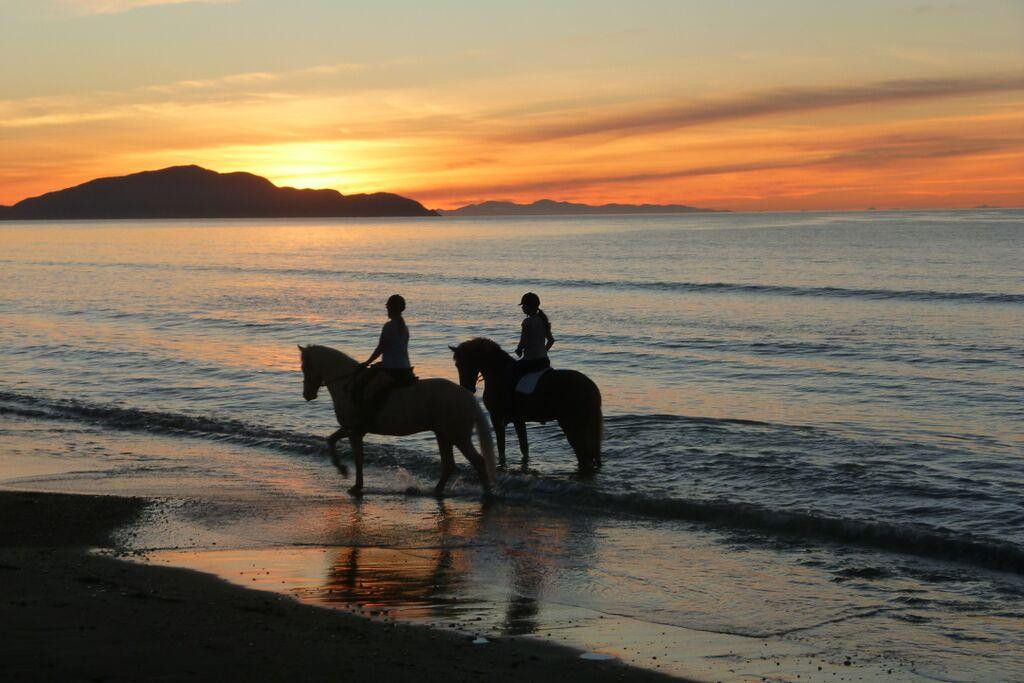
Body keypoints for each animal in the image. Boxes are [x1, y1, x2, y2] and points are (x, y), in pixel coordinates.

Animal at [296, 344, 495, 493]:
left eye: (305, 367)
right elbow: (331, 440)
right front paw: (343, 470)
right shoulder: (351, 429)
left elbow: (358, 457)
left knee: (478, 462)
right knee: (449, 465)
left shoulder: (354, 430)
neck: (349, 384)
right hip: (443, 435)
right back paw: (436, 491)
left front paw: (355, 484)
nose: (307, 394)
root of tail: (467, 397)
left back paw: (486, 494)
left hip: (458, 436)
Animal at [448, 339, 598, 473]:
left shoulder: (497, 418)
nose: (466, 388)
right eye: (457, 365)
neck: (498, 373)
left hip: (571, 424)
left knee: (582, 453)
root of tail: (589, 385)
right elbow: (523, 447)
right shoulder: (518, 420)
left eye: (462, 364)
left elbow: (502, 447)